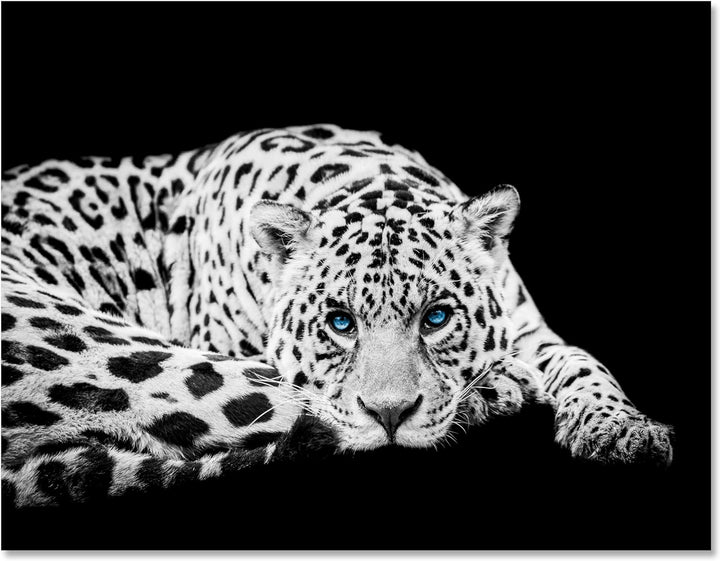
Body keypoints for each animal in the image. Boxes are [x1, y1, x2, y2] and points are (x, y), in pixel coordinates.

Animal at [1, 124, 673, 507]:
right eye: (340, 322)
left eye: (437, 317)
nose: (391, 414)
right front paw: (499, 388)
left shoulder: (532, 330)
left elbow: (584, 363)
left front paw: (623, 431)